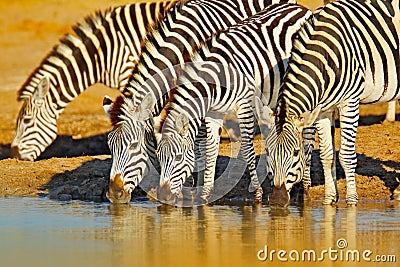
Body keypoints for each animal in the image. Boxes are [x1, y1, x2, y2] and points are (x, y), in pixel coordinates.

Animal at [103, 0, 296, 204]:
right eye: (110, 147)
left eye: (133, 146)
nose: (114, 194)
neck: (180, 47)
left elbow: (199, 143)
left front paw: (194, 185)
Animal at [154, 3, 312, 204]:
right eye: (159, 157)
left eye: (178, 157)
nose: (162, 196)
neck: (214, 80)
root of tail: (299, 7)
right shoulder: (213, 113)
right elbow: (210, 150)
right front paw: (205, 195)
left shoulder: (244, 105)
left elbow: (248, 148)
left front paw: (257, 192)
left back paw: (303, 185)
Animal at [268, 0, 400, 206]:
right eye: (268, 152)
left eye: (296, 152)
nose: (276, 200)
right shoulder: (323, 110)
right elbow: (327, 156)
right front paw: (329, 199)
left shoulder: (349, 102)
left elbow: (346, 156)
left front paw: (351, 202)